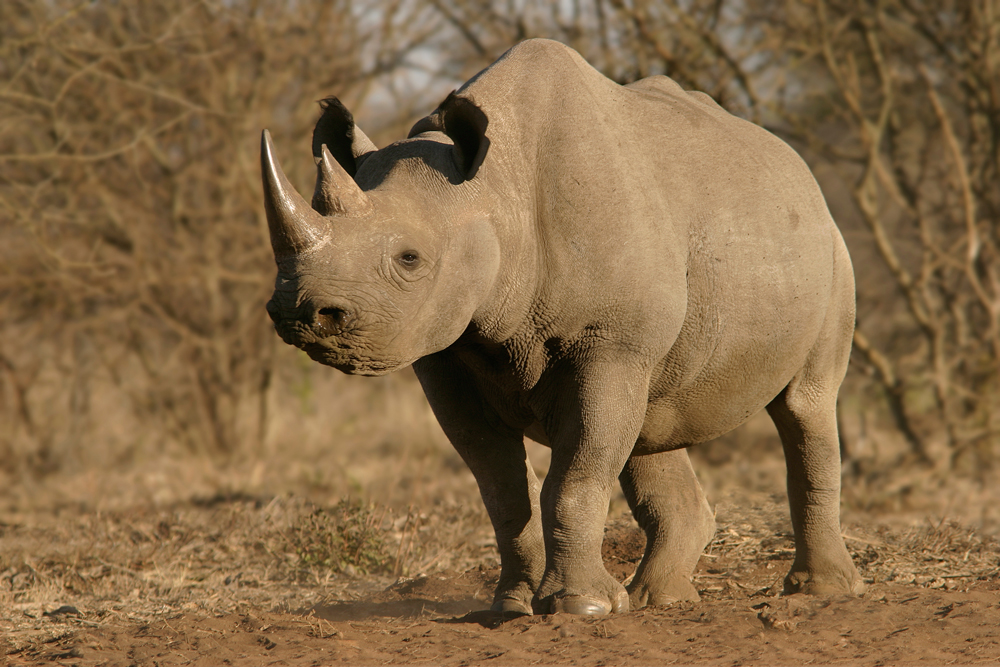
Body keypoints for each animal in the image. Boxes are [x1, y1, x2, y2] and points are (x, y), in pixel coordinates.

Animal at [262, 39, 864, 620]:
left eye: (409, 259)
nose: (301, 314)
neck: (497, 192)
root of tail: (801, 171)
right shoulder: (446, 353)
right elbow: (502, 488)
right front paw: (510, 606)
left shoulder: (610, 342)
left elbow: (574, 478)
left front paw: (580, 608)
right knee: (651, 423)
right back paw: (658, 600)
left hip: (831, 250)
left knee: (805, 404)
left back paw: (820, 591)